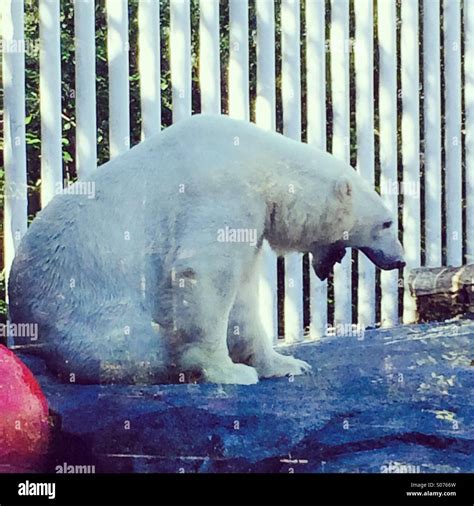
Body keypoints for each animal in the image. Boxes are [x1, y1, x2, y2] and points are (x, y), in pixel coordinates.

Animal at [8, 113, 404, 384]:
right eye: (387, 223)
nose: (399, 260)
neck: (264, 164)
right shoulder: (222, 193)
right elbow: (206, 273)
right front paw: (228, 371)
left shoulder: (252, 221)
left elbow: (243, 297)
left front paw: (287, 364)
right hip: (90, 314)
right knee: (140, 344)